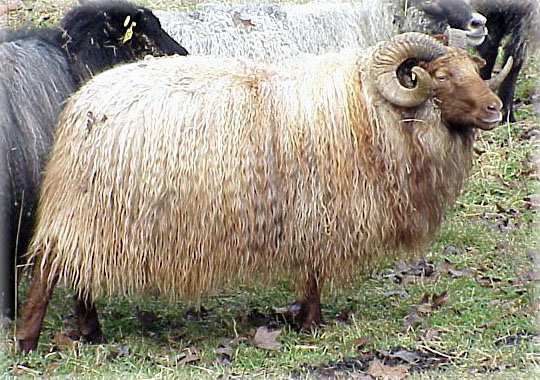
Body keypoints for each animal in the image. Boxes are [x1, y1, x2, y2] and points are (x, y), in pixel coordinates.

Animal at [15, 31, 506, 352]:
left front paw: (306, 322)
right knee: (51, 268)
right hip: (91, 210)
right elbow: (313, 274)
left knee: (76, 270)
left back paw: (89, 331)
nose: (496, 108)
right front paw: (311, 325)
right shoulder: (317, 211)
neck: (369, 107)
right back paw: (28, 340)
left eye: (475, 69)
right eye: (440, 75)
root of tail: (80, 104)